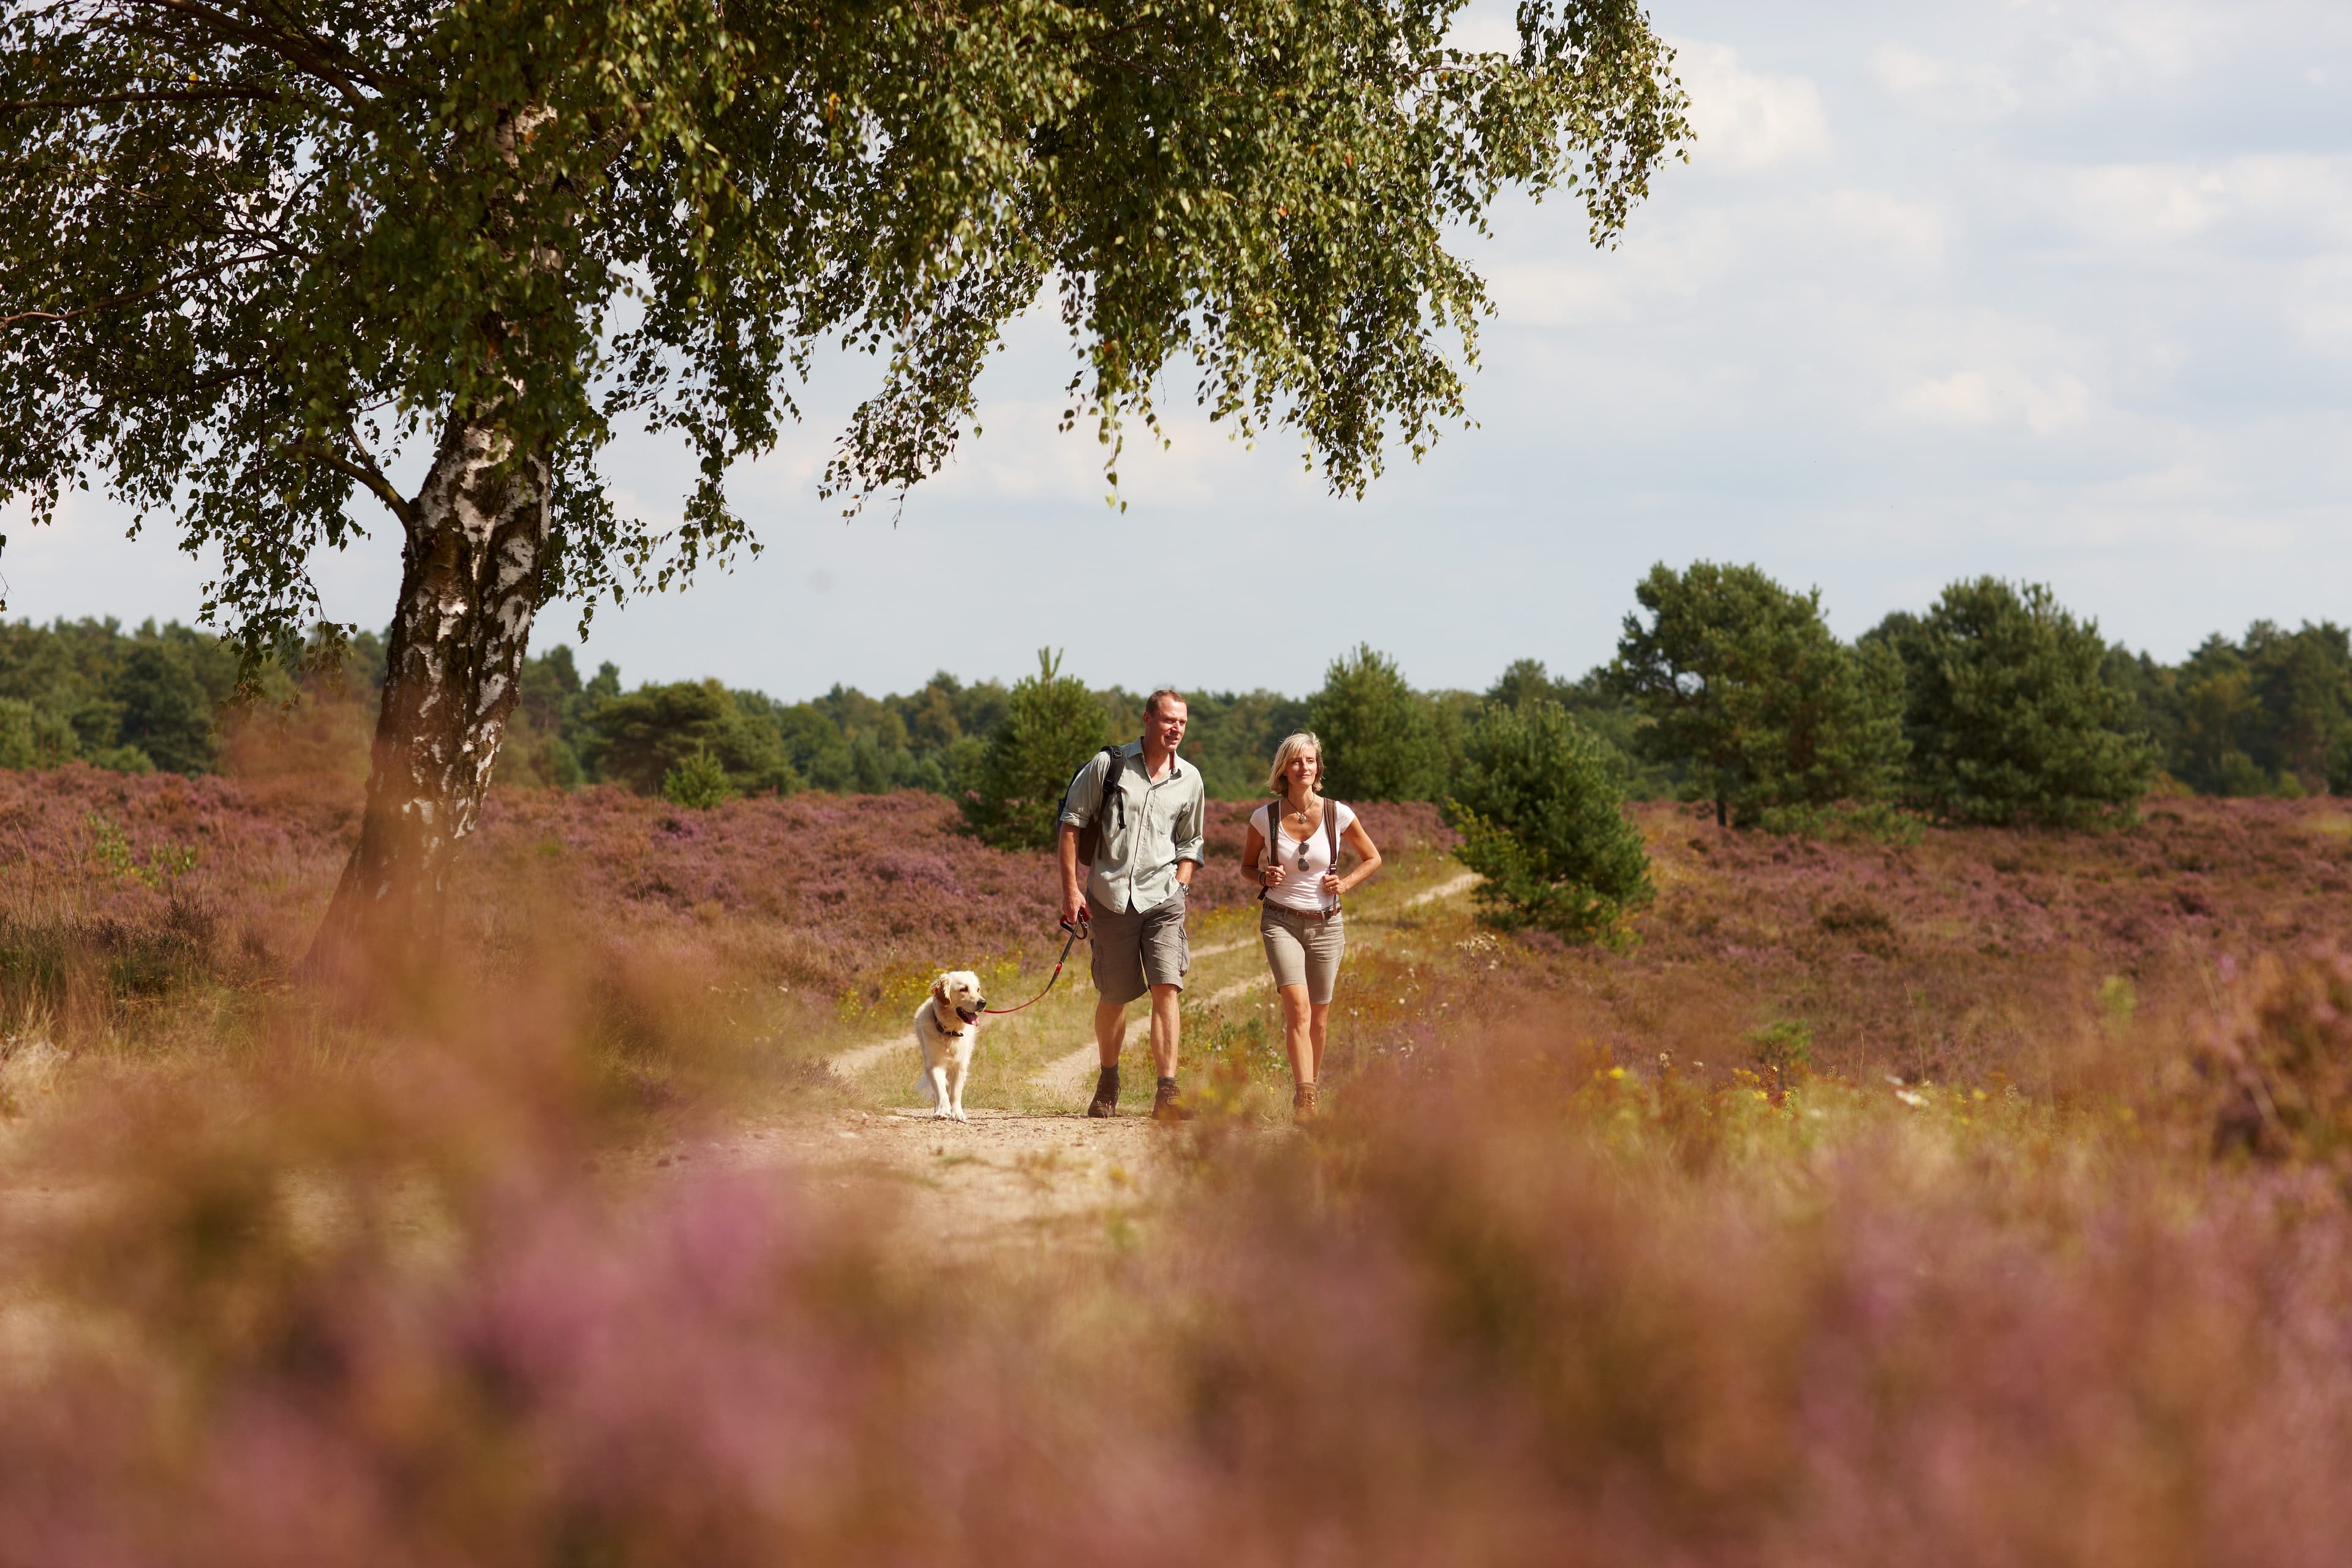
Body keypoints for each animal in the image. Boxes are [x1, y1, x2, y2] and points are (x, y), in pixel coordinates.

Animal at [908, 973, 983, 1123]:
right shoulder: (935, 1065)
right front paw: (943, 1111)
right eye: (964, 989)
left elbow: (955, 1093)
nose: (983, 1003)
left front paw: (958, 1114)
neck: (951, 1032)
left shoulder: (960, 1066)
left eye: (977, 989)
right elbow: (941, 1091)